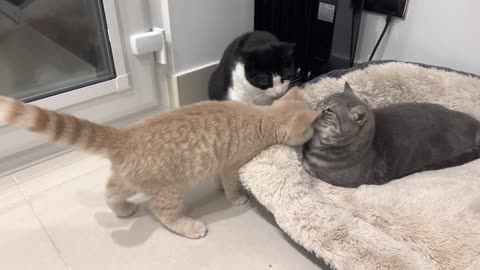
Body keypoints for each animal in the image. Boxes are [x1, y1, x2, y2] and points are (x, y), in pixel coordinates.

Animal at [0, 87, 318, 237]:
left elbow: (218, 179)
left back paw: (122, 210)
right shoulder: (231, 165)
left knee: (111, 191)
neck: (263, 117)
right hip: (170, 191)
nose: (312, 136)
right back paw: (189, 227)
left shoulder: (220, 164)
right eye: (310, 129)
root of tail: (126, 134)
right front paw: (235, 197)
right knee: (163, 214)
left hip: (128, 180)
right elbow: (230, 184)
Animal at [304, 83, 480, 187]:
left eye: (329, 111)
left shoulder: (339, 181)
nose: (315, 108)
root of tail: (476, 126)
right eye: (322, 101)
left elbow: (312, 169)